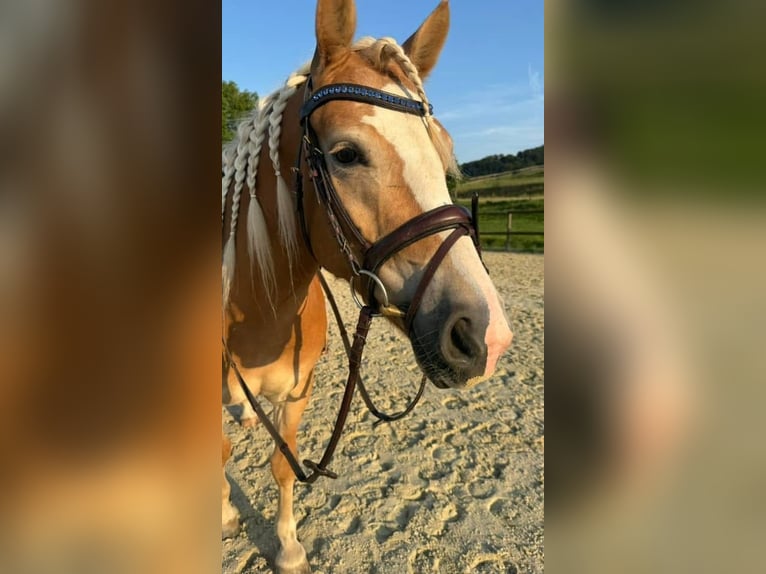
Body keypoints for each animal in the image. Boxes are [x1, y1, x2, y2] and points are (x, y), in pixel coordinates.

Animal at [219, 2, 512, 572]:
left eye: (443, 150)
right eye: (346, 154)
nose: (487, 336)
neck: (259, 308)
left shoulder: (299, 390)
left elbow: (284, 465)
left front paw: (288, 547)